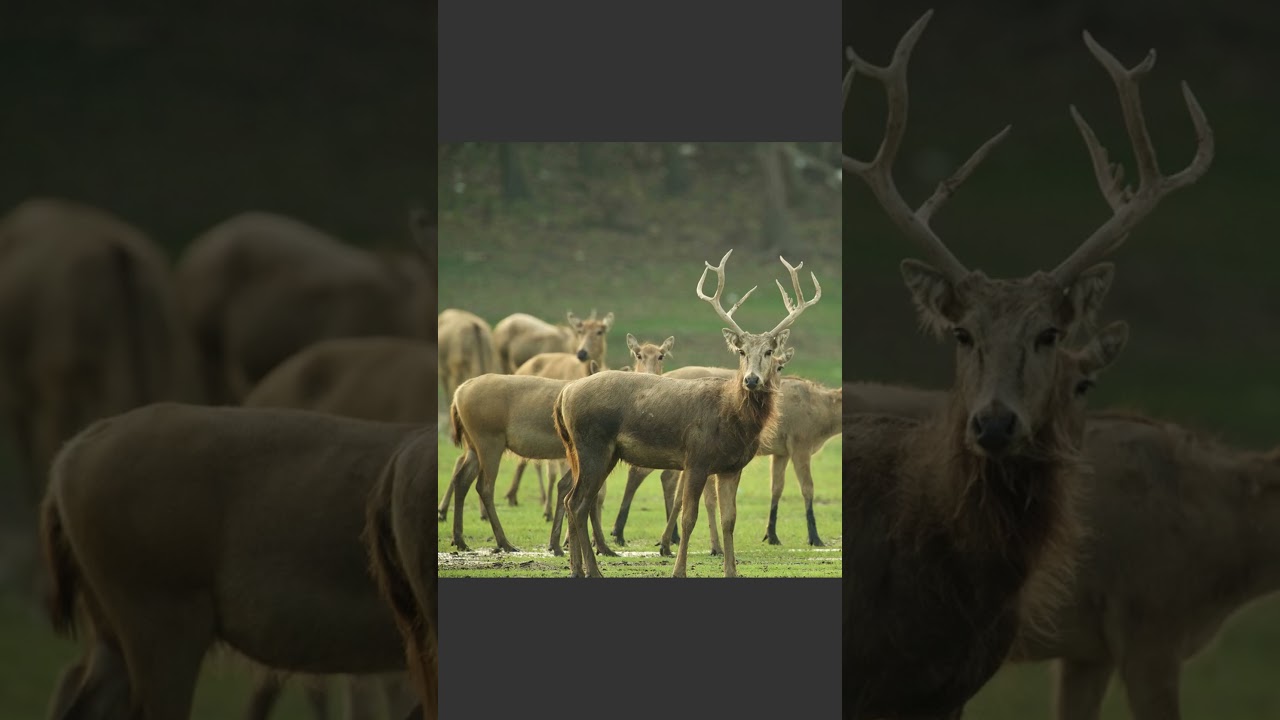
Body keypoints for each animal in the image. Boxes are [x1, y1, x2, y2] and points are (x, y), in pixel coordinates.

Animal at [553, 249, 821, 578]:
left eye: (769, 352)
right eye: (741, 351)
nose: (751, 379)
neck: (732, 418)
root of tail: (564, 394)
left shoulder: (732, 467)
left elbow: (730, 519)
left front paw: (731, 571)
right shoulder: (696, 458)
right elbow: (688, 517)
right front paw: (678, 570)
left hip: (588, 451)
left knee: (573, 500)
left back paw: (579, 569)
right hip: (592, 446)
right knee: (578, 502)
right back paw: (592, 570)